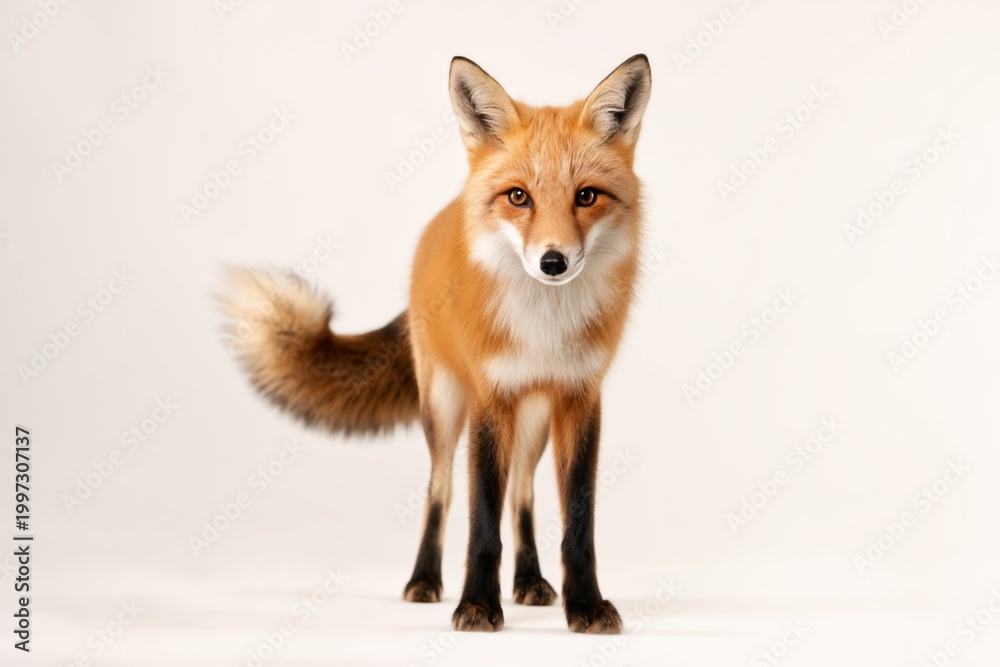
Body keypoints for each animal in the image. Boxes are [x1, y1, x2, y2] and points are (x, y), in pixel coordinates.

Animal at [221, 54, 652, 633]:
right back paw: (424, 580)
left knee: (521, 494)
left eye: (586, 196)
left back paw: (529, 582)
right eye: (518, 197)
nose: (553, 262)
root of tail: (441, 220)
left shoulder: (580, 398)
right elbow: (481, 522)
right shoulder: (489, 399)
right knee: (440, 491)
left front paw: (584, 605)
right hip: (445, 408)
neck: (543, 326)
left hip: (533, 421)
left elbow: (576, 524)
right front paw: (477, 605)